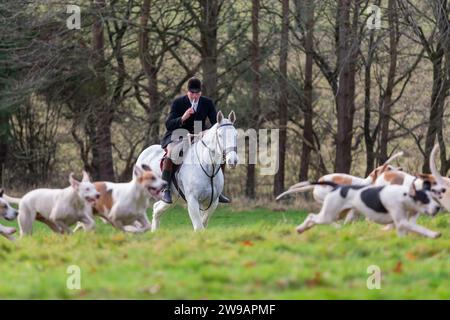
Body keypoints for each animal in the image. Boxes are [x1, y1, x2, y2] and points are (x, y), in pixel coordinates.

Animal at [298, 181, 442, 239]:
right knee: (311, 216)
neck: (404, 196)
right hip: (328, 215)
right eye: (425, 200)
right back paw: (300, 228)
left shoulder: (402, 224)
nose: (438, 207)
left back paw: (304, 229)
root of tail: (338, 186)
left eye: (434, 197)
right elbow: (420, 228)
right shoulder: (401, 222)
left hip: (336, 215)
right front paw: (434, 234)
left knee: (314, 218)